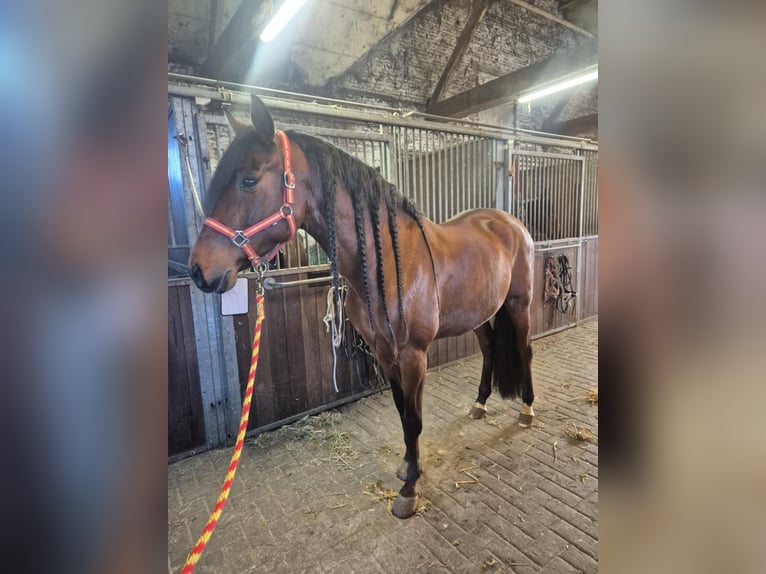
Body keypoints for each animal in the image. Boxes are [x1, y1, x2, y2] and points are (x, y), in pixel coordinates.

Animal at [189, 94, 536, 518]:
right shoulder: (383, 351)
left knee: (525, 349)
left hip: (519, 305)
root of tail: (509, 222)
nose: (199, 270)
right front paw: (407, 467)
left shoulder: (413, 354)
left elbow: (414, 419)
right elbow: (402, 412)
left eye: (248, 180)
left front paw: (409, 490)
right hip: (482, 314)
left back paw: (527, 410)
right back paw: (480, 404)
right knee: (489, 351)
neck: (386, 261)